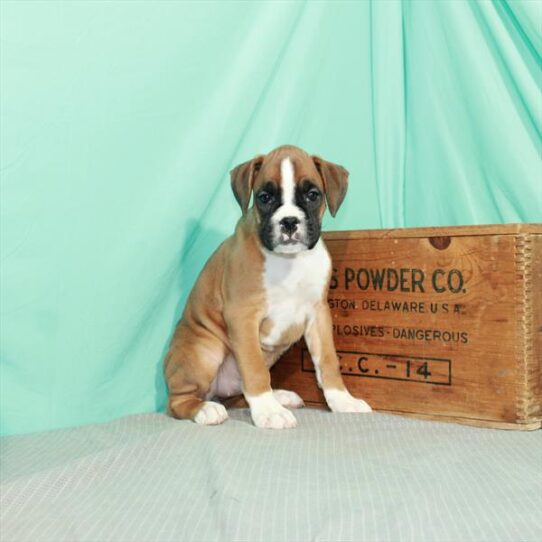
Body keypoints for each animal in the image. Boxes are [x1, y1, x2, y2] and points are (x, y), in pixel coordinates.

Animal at [164, 147, 372, 432]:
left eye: (312, 195)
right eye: (264, 197)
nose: (289, 221)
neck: (289, 261)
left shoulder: (318, 314)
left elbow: (328, 361)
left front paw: (342, 400)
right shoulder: (243, 316)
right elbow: (254, 369)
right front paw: (268, 412)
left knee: (241, 392)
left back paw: (279, 396)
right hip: (204, 351)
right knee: (178, 402)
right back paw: (206, 409)